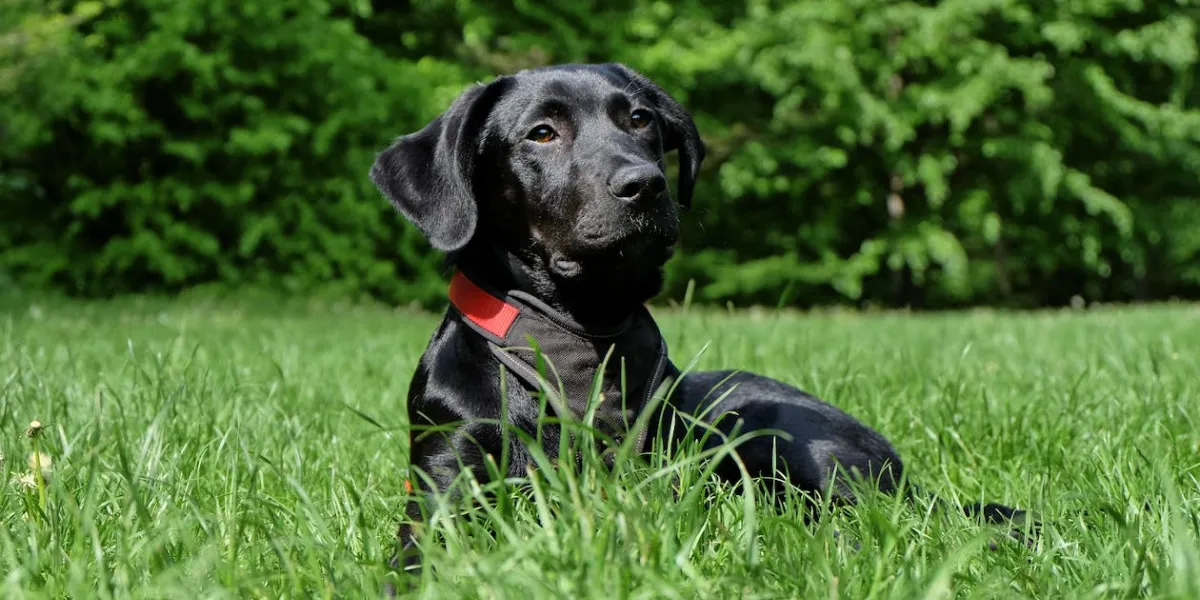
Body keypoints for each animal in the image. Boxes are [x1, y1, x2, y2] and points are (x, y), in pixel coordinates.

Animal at [369, 63, 1027, 573]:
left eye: (640, 120)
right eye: (542, 133)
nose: (644, 184)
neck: (575, 339)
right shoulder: (445, 475)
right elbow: (423, 554)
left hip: (777, 435)